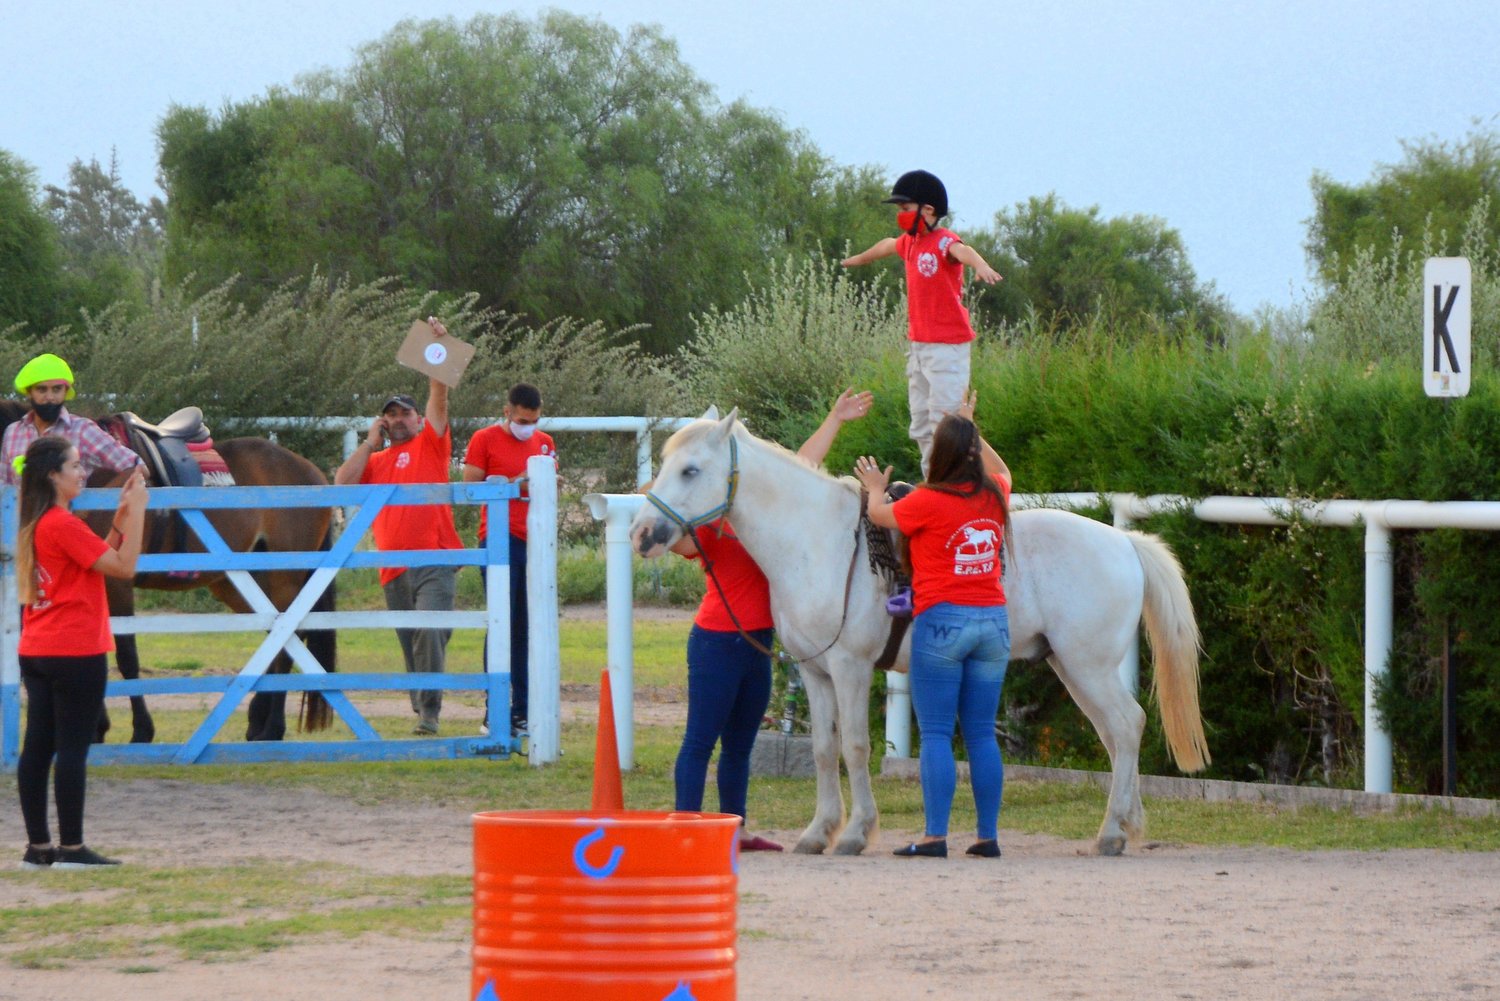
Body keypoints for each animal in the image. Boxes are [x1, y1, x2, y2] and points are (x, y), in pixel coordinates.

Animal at [2, 402, 337, 744]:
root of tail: (312, 472)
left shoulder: (117, 581)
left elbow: (126, 657)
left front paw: (140, 731)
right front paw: (95, 728)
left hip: (285, 577)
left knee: (287, 639)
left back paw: (272, 728)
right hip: (241, 582)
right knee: (278, 636)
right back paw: (257, 722)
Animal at [630, 411, 1206, 858]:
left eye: (690, 469)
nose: (641, 533)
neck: (816, 542)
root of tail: (1124, 542)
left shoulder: (850, 667)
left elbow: (855, 747)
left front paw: (855, 833)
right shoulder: (815, 672)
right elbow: (823, 749)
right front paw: (818, 832)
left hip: (1088, 666)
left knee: (1127, 727)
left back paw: (1111, 832)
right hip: (1073, 667)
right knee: (1118, 734)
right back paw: (1125, 825)